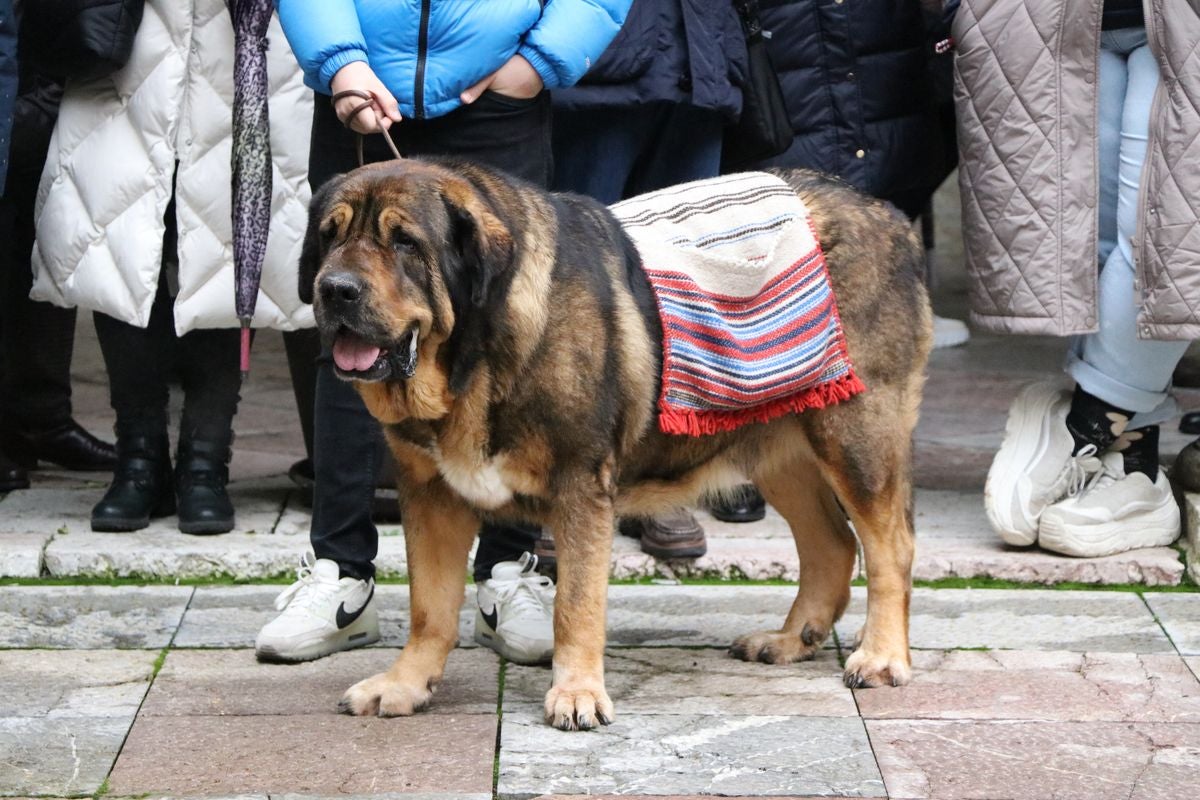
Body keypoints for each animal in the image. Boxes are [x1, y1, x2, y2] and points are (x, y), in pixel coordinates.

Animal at [295, 158, 931, 734]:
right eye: (329, 236)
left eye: (404, 242)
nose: (335, 289)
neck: (473, 360)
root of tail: (889, 215)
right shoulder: (430, 493)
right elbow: (429, 606)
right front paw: (404, 685)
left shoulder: (579, 486)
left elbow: (575, 605)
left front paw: (576, 694)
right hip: (779, 447)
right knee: (832, 545)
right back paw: (789, 639)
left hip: (855, 438)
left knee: (889, 547)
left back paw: (881, 656)